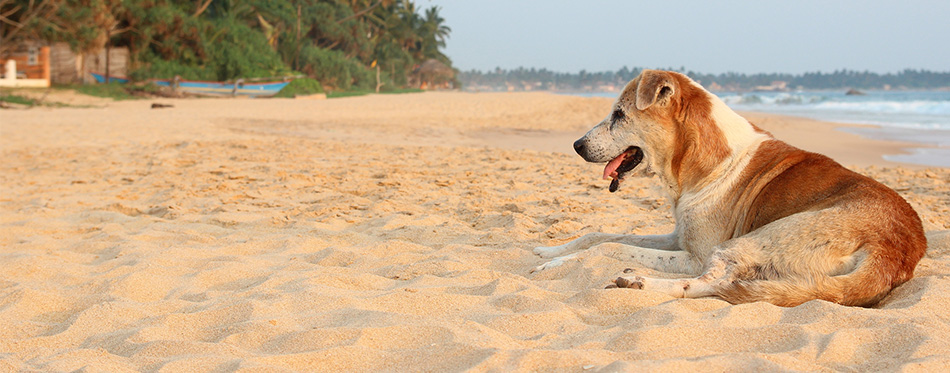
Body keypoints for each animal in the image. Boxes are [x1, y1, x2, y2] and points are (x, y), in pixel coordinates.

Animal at [536, 69, 928, 306]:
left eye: (619, 115)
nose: (576, 145)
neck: (696, 160)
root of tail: (895, 251)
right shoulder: (677, 238)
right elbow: (599, 235)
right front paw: (549, 251)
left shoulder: (694, 254)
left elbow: (608, 247)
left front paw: (557, 263)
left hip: (746, 243)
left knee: (710, 282)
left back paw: (639, 283)